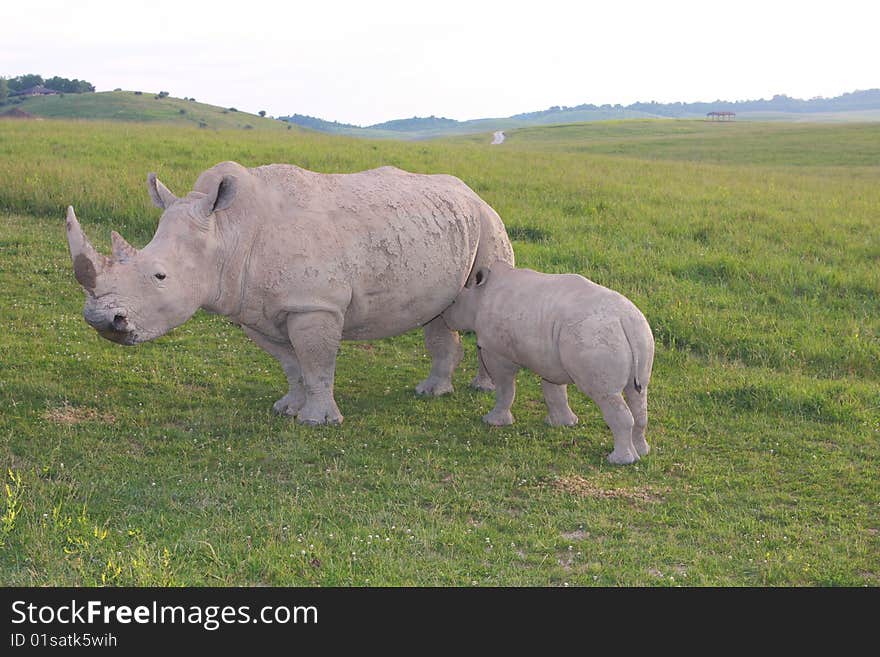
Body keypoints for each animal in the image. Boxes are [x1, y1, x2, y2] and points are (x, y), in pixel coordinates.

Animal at [67, 161, 516, 422]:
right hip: (455, 226)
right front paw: (286, 409)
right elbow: (292, 364)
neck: (227, 230)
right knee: (439, 317)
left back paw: (480, 389)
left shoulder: (314, 305)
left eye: (160, 276)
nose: (102, 322)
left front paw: (316, 421)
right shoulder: (254, 309)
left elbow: (316, 364)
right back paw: (432, 392)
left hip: (489, 223)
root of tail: (472, 192)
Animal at [446, 258, 652, 464]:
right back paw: (642, 452)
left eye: (454, 302)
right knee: (638, 393)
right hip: (640, 332)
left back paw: (619, 460)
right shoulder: (550, 360)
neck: (480, 295)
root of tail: (624, 320)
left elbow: (505, 388)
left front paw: (493, 421)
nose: (445, 318)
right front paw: (562, 423)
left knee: (606, 395)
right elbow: (554, 391)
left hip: (595, 335)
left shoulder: (497, 352)